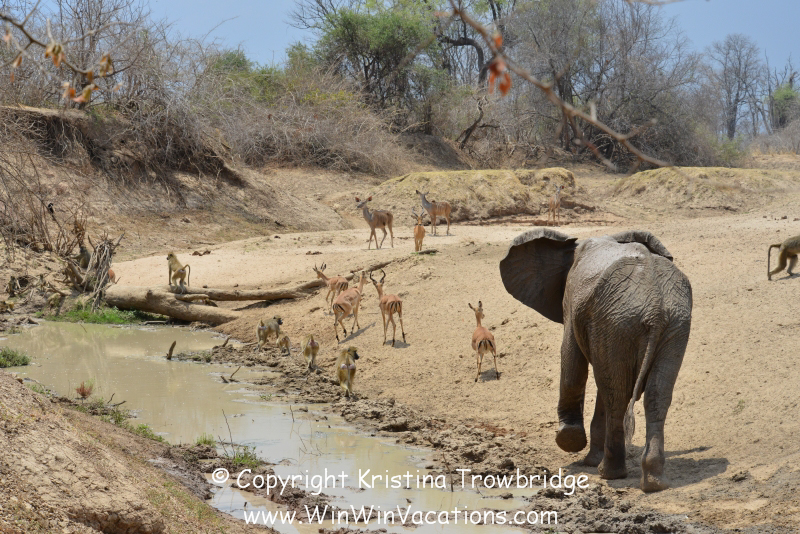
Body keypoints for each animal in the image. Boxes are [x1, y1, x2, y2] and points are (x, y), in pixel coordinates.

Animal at [499, 228, 692, 492]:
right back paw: (653, 483)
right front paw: (588, 458)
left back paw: (610, 474)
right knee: (652, 395)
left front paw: (569, 440)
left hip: (621, 321)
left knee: (617, 395)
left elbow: (570, 360)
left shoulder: (573, 301)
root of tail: (655, 310)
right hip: (668, 325)